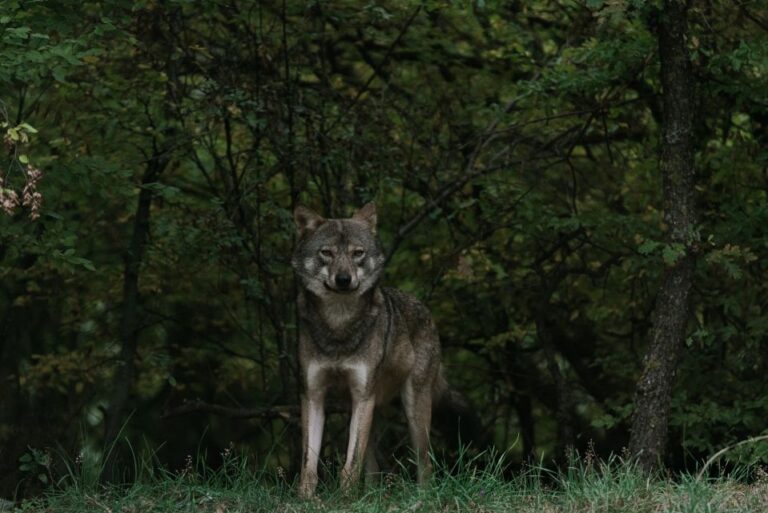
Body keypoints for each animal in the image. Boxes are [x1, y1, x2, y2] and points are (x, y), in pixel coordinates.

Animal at [292, 203, 476, 496]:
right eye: (326, 253)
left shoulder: (362, 396)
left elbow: (350, 464)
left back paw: (422, 498)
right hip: (367, 410)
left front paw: (343, 499)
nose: (343, 279)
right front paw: (306, 499)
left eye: (357, 253)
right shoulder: (313, 395)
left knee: (425, 464)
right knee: (373, 466)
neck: (339, 326)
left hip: (413, 410)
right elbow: (309, 464)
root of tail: (425, 310)